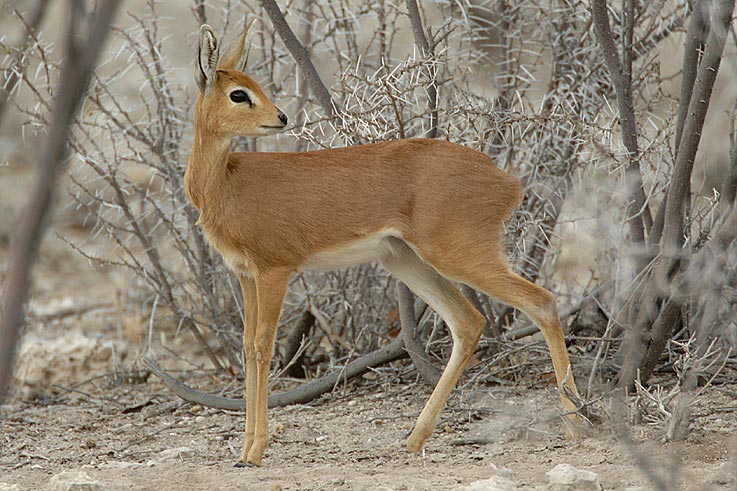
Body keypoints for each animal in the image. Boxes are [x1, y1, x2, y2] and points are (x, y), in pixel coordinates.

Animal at [185, 23, 580, 468]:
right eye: (240, 92)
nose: (281, 117)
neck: (226, 184)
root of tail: (505, 179)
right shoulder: (245, 275)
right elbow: (248, 346)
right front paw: (245, 448)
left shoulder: (275, 271)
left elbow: (263, 346)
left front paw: (255, 451)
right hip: (406, 261)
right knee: (468, 321)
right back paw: (415, 439)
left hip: (458, 255)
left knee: (541, 302)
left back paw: (576, 427)